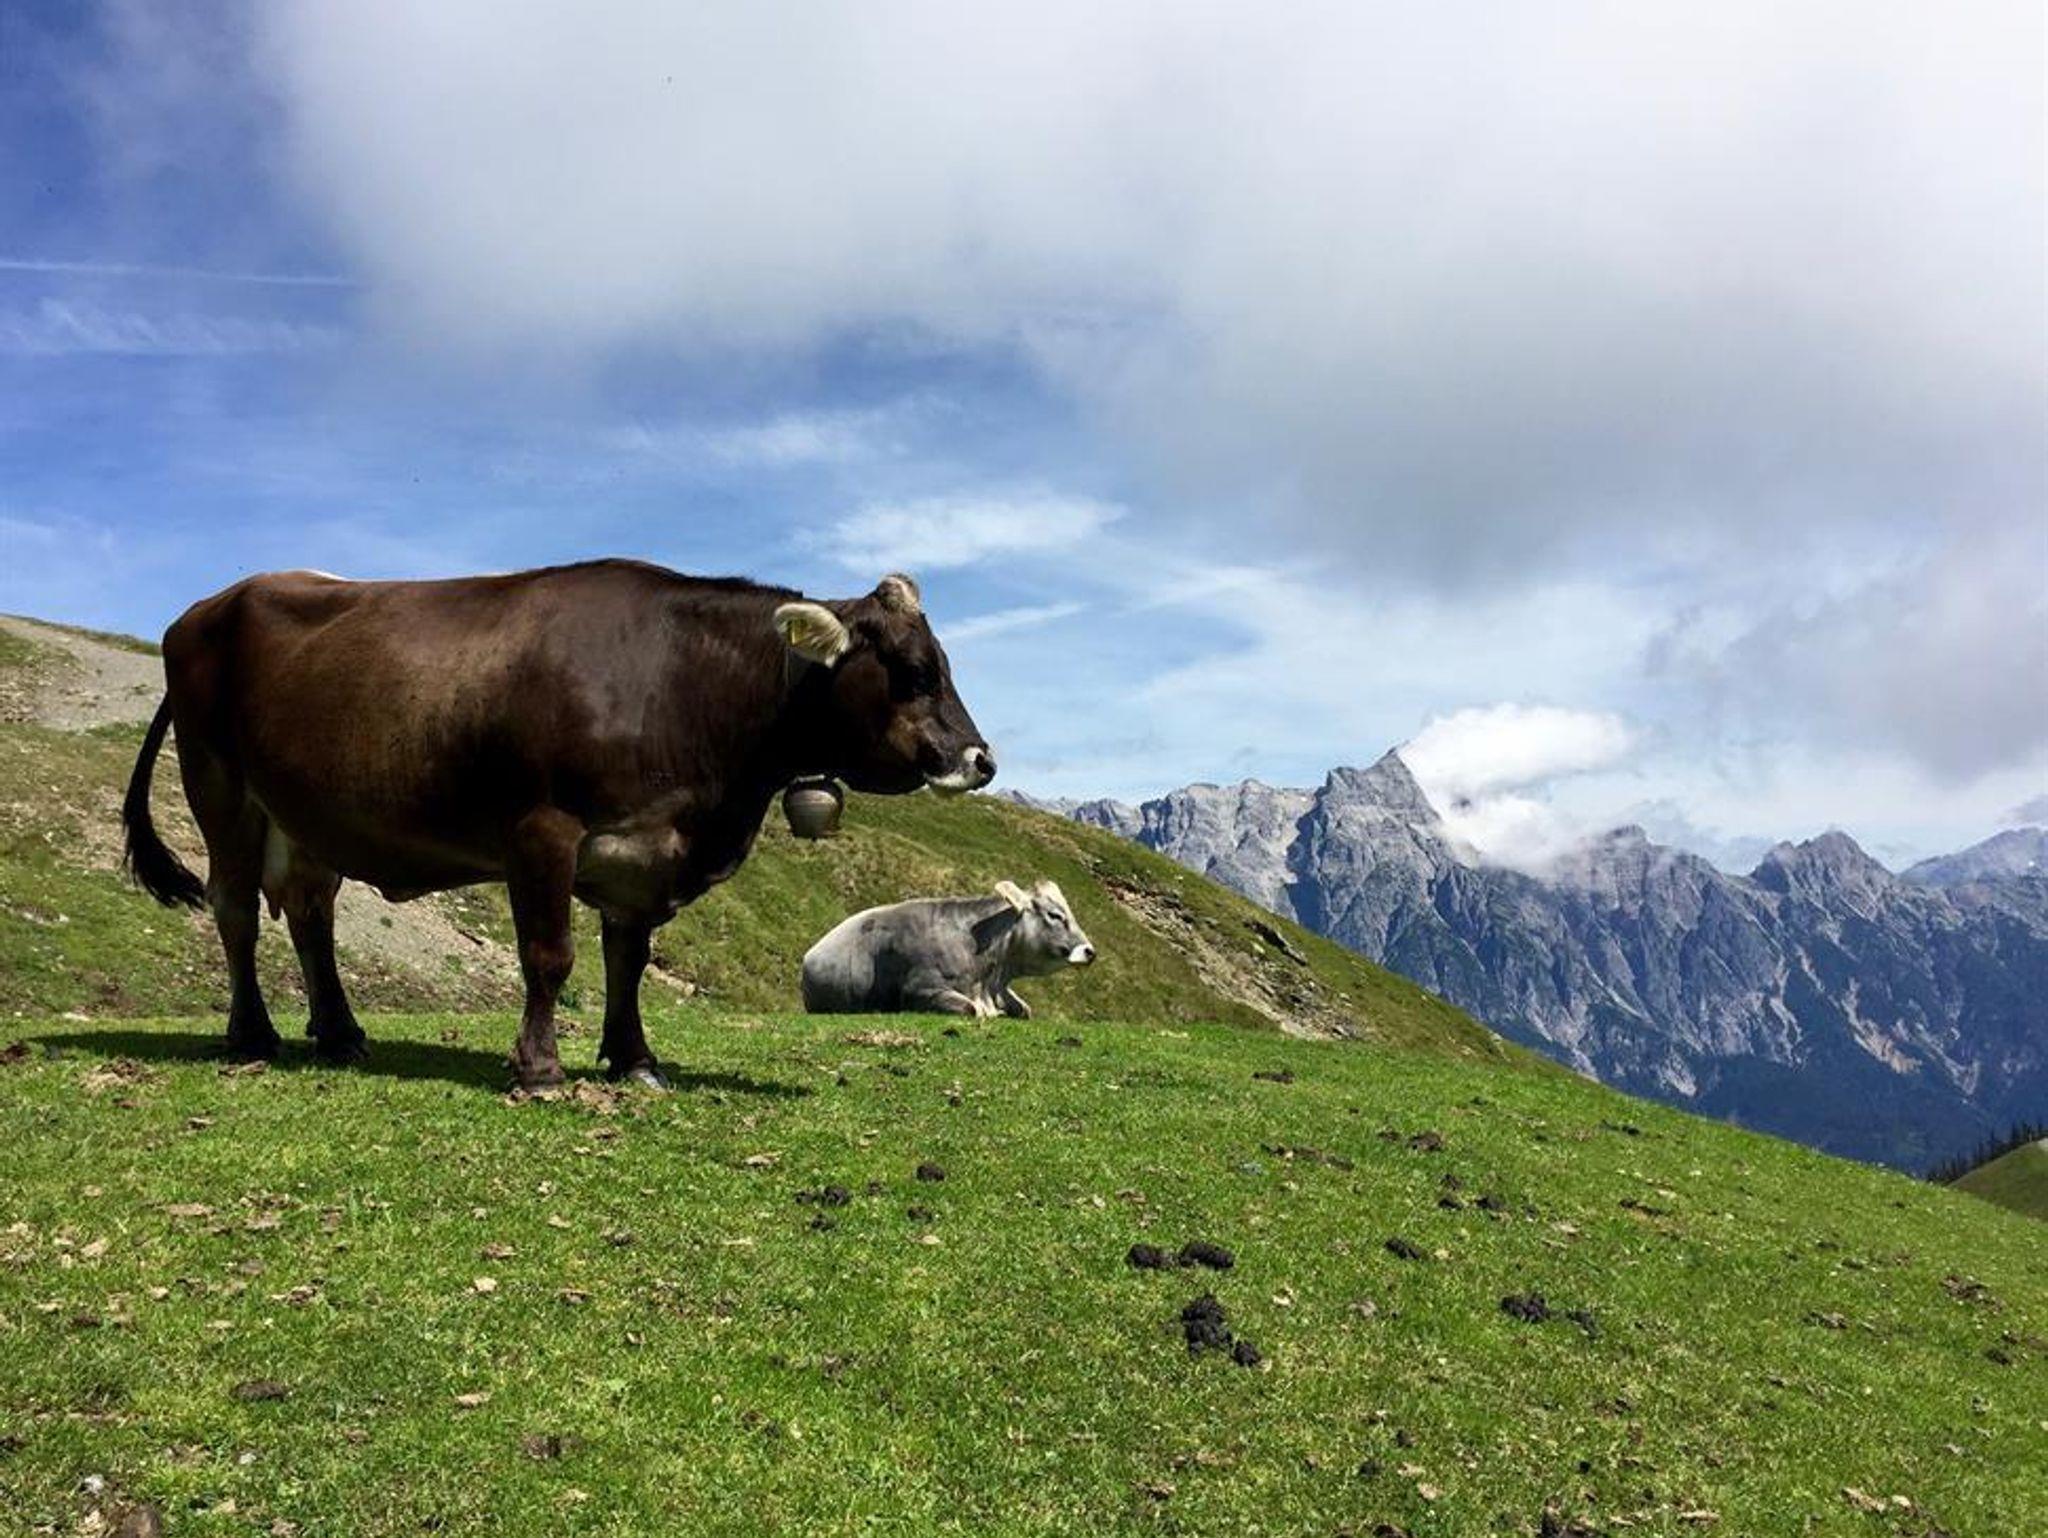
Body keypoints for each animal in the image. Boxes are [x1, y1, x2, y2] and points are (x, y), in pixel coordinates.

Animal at [120, 561, 994, 1090]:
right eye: (915, 672)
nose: (980, 759)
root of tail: (208, 605)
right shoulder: (542, 832)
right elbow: (550, 957)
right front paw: (539, 1068)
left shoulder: (643, 854)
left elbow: (626, 964)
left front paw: (635, 1060)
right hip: (220, 788)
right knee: (236, 911)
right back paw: (252, 1035)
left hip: (306, 818)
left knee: (309, 915)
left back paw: (338, 1032)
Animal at [799, 879, 1096, 1018]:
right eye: (1055, 915)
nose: (1089, 951)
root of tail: (810, 954)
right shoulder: (921, 989)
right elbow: (971, 1010)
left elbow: (1025, 1010)